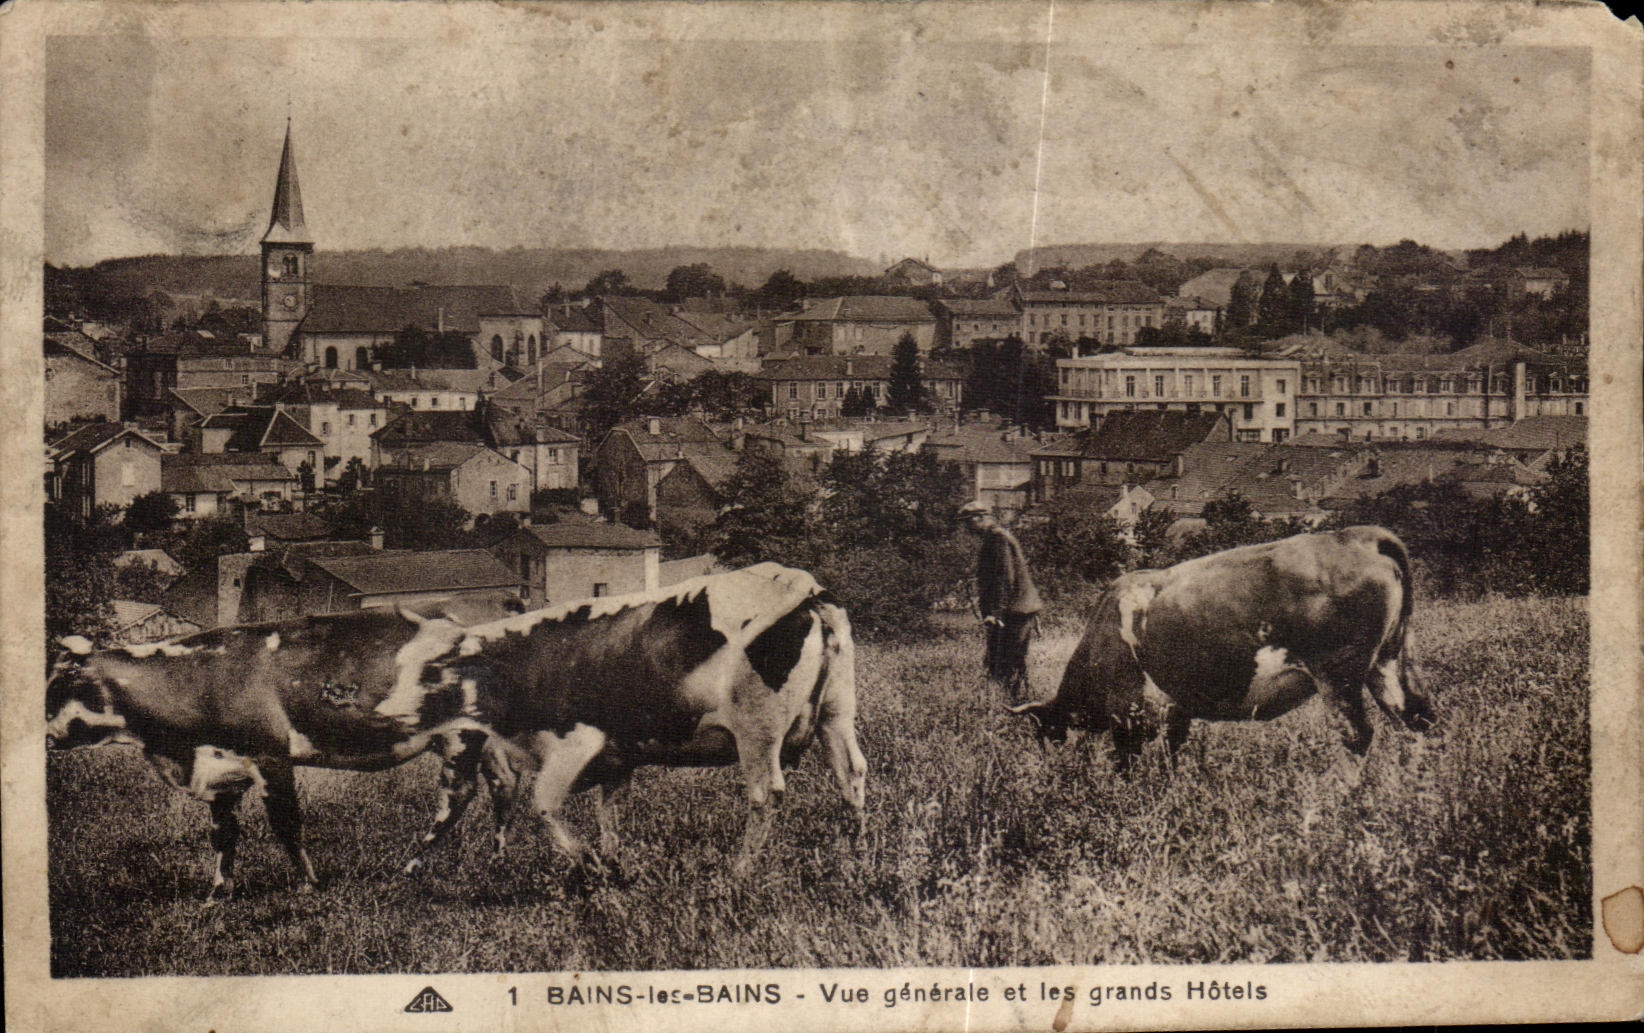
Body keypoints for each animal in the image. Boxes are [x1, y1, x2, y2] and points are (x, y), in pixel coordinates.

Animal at [45, 595, 521, 903]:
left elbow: (286, 823)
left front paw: (310, 884)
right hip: (480, 735)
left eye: (60, 688)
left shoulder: (270, 755)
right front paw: (217, 893)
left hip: (460, 735)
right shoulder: (220, 771)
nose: (44, 734)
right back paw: (497, 859)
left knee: (458, 795)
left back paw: (412, 865)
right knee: (504, 782)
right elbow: (223, 834)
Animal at [376, 562, 867, 878]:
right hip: (837, 714)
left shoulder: (574, 745)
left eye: (435, 668)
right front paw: (613, 867)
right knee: (851, 774)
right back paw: (854, 854)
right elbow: (609, 816)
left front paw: (588, 865)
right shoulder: (618, 760)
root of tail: (802, 587)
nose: (384, 713)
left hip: (757, 730)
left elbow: (544, 804)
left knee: (766, 794)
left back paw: (740, 871)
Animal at [1008, 526, 1434, 768]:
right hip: (1391, 659)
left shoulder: (1129, 712)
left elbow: (1128, 762)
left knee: (1357, 736)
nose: (1050, 774)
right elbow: (1170, 757)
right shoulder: (1176, 712)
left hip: (1337, 673)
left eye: (1046, 735)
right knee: (1415, 722)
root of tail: (1356, 536)